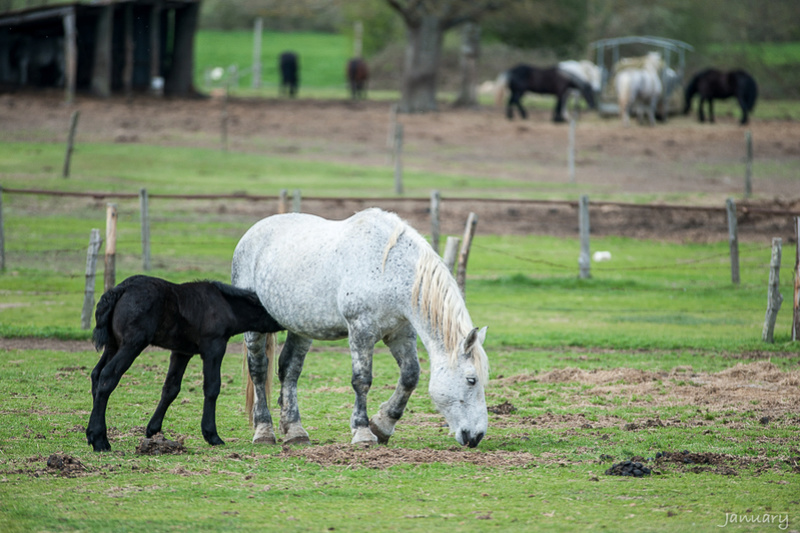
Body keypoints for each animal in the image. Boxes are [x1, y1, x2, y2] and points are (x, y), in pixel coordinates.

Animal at [86, 274, 284, 454]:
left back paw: (92, 434)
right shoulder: (214, 348)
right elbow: (212, 388)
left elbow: (171, 388)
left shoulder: (181, 352)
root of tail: (120, 289)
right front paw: (212, 435)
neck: (226, 304)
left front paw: (154, 431)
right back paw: (100, 440)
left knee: (96, 375)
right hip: (132, 344)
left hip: (113, 345)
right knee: (107, 377)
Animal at [231, 210, 490, 446]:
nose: (476, 436)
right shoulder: (360, 330)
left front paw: (383, 425)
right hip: (255, 331)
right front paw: (363, 431)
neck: (389, 269)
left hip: (301, 327)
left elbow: (410, 375)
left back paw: (295, 431)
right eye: (471, 380)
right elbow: (362, 380)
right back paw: (264, 431)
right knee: (259, 370)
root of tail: (252, 233)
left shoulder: (400, 332)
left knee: (289, 370)